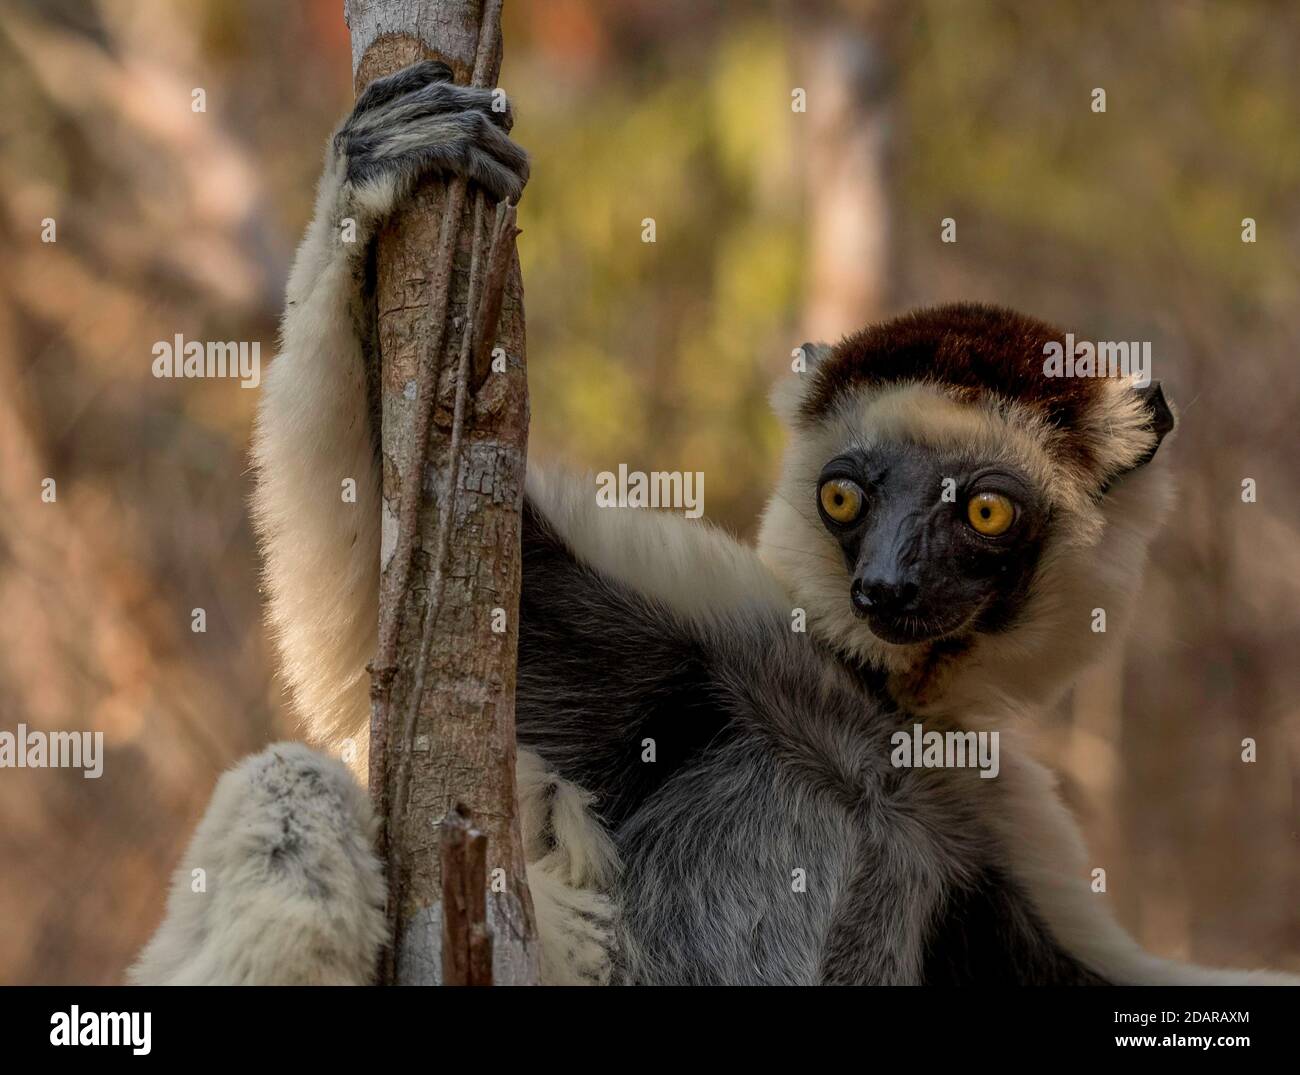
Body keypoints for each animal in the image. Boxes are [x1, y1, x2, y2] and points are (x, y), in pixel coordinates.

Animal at [129, 61, 1295, 986]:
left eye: (985, 510)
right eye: (844, 498)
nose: (885, 588)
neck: (877, 721)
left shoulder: (990, 823)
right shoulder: (711, 635)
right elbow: (370, 587)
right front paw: (376, 175)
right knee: (294, 787)